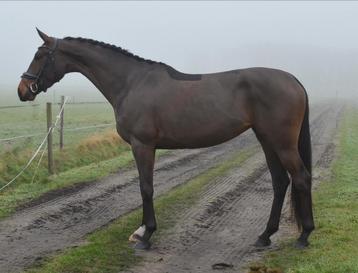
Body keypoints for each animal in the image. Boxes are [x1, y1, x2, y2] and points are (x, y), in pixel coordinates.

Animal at [18, 29, 314, 249]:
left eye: (39, 55)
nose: (23, 90)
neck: (131, 82)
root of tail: (294, 80)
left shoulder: (143, 145)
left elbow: (145, 187)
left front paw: (145, 235)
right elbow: (145, 187)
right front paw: (142, 231)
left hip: (282, 143)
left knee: (301, 178)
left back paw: (304, 235)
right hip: (267, 140)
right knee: (280, 182)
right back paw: (265, 236)